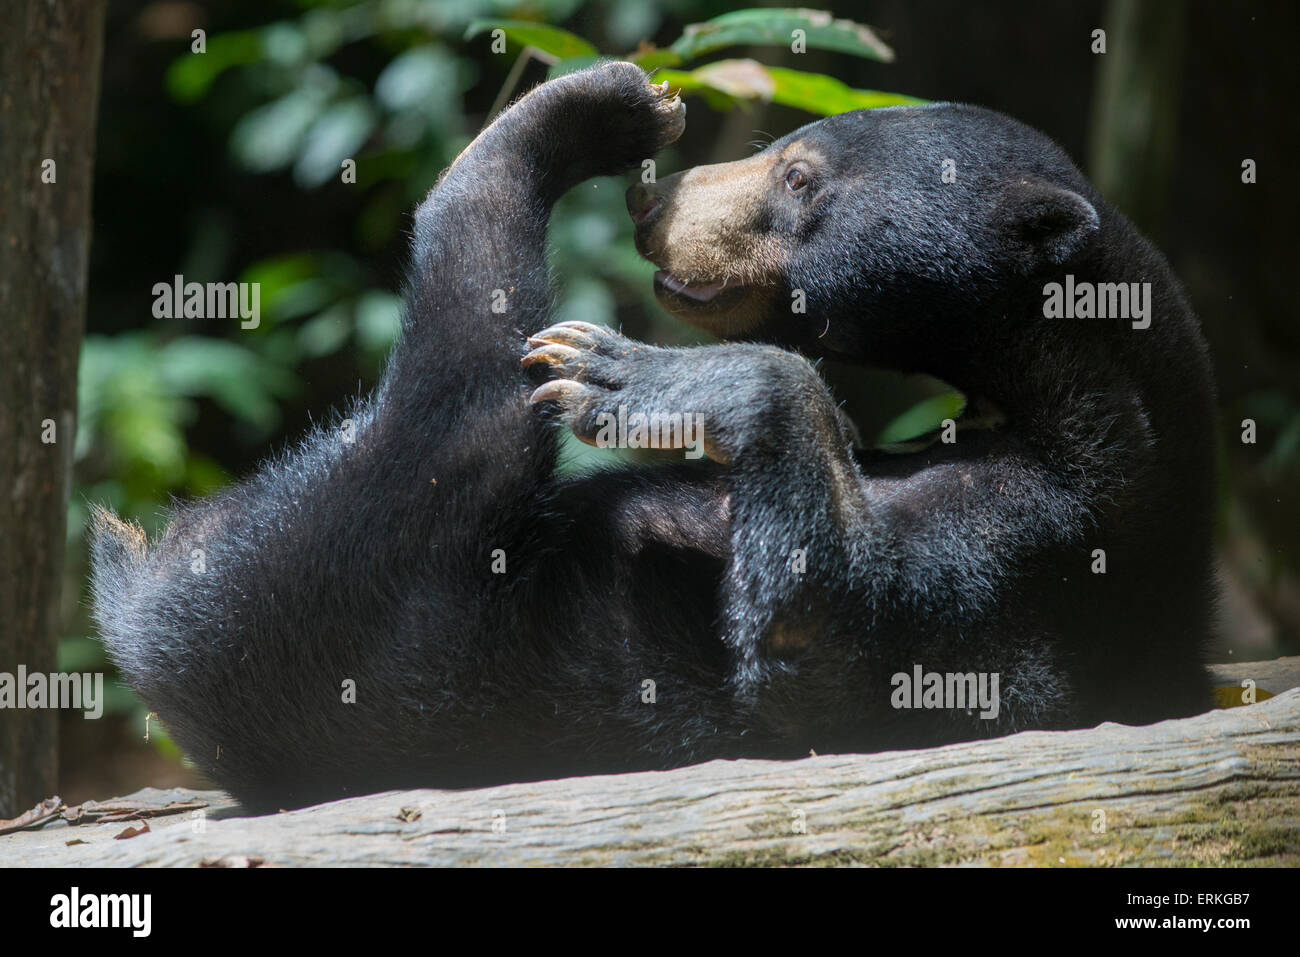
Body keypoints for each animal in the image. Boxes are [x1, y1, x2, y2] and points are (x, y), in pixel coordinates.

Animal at [91, 59, 1216, 811]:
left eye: (798, 176)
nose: (654, 200)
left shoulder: (1039, 550)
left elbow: (822, 641)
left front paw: (624, 371)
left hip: (348, 597)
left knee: (466, 377)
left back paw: (559, 123)